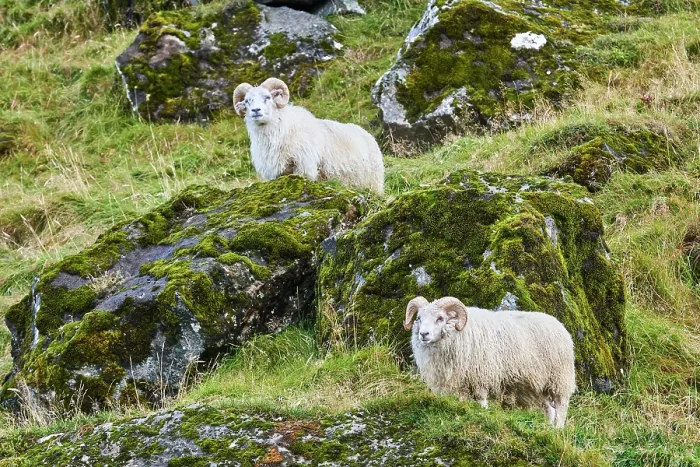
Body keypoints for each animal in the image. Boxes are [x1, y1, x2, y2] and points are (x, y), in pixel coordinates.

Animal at [233, 78, 384, 193]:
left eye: (268, 97)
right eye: (247, 101)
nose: (255, 110)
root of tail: (367, 134)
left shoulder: (304, 167)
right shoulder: (275, 173)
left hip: (374, 183)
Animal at [404, 296, 576, 428]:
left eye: (440, 318)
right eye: (419, 318)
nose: (423, 334)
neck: (460, 332)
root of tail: (560, 325)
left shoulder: (481, 375)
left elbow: (481, 399)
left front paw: (483, 413)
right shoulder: (460, 381)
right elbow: (463, 400)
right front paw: (463, 411)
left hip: (559, 378)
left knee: (561, 406)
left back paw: (558, 429)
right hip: (537, 386)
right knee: (549, 409)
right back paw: (548, 430)